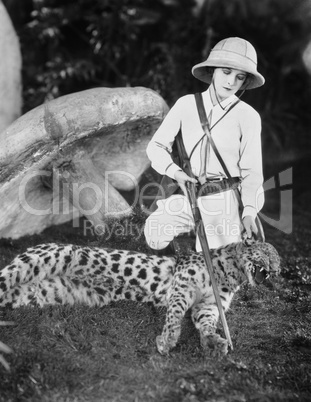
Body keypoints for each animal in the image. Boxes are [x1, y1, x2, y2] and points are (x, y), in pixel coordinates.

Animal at [0, 237, 282, 356]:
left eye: (279, 260)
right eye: (268, 254)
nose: (277, 270)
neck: (232, 274)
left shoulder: (209, 306)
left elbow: (207, 324)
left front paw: (213, 341)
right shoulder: (182, 284)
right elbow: (174, 315)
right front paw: (167, 340)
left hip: (34, 293)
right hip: (49, 257)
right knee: (5, 276)